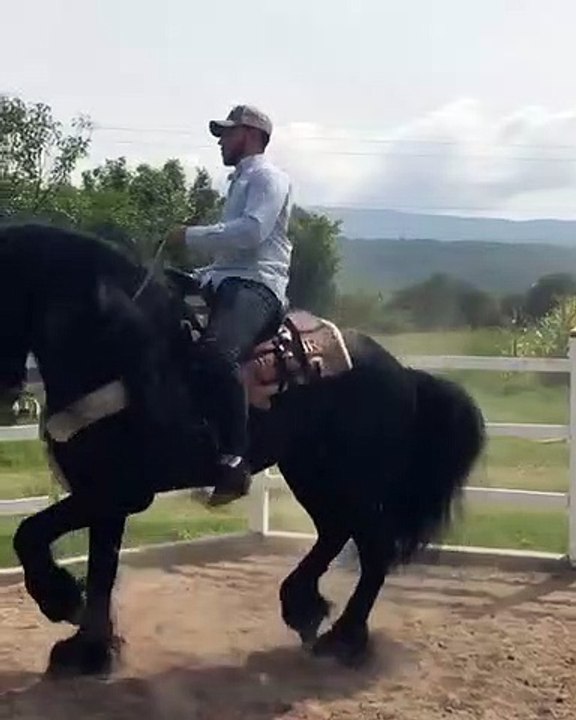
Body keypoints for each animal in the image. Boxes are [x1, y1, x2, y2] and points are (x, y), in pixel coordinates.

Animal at [0, 221, 486, 677]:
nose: (10, 391)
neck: (117, 350)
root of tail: (402, 372)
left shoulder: (119, 492)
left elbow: (32, 534)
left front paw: (62, 601)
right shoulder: (103, 493)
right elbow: (100, 567)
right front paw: (89, 650)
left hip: (353, 480)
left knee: (373, 548)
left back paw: (344, 640)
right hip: (313, 473)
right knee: (335, 532)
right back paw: (302, 608)